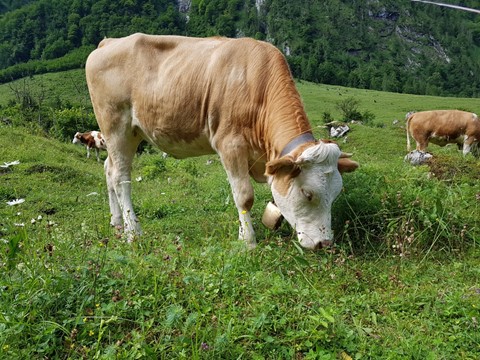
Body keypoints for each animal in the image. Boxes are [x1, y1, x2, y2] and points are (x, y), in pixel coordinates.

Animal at [85, 33, 356, 250]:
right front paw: (248, 241)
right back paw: (134, 232)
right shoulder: (230, 144)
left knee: (108, 169)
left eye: (336, 193)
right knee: (120, 178)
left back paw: (117, 224)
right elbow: (244, 195)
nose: (324, 244)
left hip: (130, 133)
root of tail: (109, 42)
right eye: (308, 193)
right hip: (116, 125)